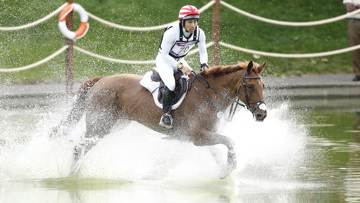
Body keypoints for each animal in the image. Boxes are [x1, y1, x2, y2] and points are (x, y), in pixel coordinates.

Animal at [52, 60, 268, 178]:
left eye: (263, 86)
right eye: (250, 86)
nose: (262, 114)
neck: (210, 94)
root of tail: (101, 80)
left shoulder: (207, 134)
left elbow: (219, 150)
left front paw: (224, 171)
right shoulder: (198, 137)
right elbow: (230, 142)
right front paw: (228, 170)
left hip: (114, 124)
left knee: (82, 146)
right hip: (100, 125)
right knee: (79, 147)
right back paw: (71, 176)